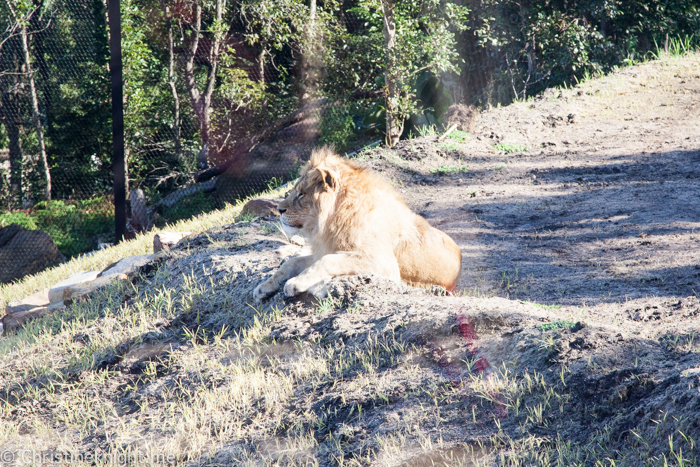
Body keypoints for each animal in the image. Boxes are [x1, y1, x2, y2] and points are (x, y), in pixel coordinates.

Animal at [254, 146, 462, 302]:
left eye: (301, 194)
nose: (279, 209)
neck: (333, 220)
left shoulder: (383, 264)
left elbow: (326, 261)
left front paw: (296, 283)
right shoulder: (327, 248)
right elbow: (292, 263)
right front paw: (263, 288)